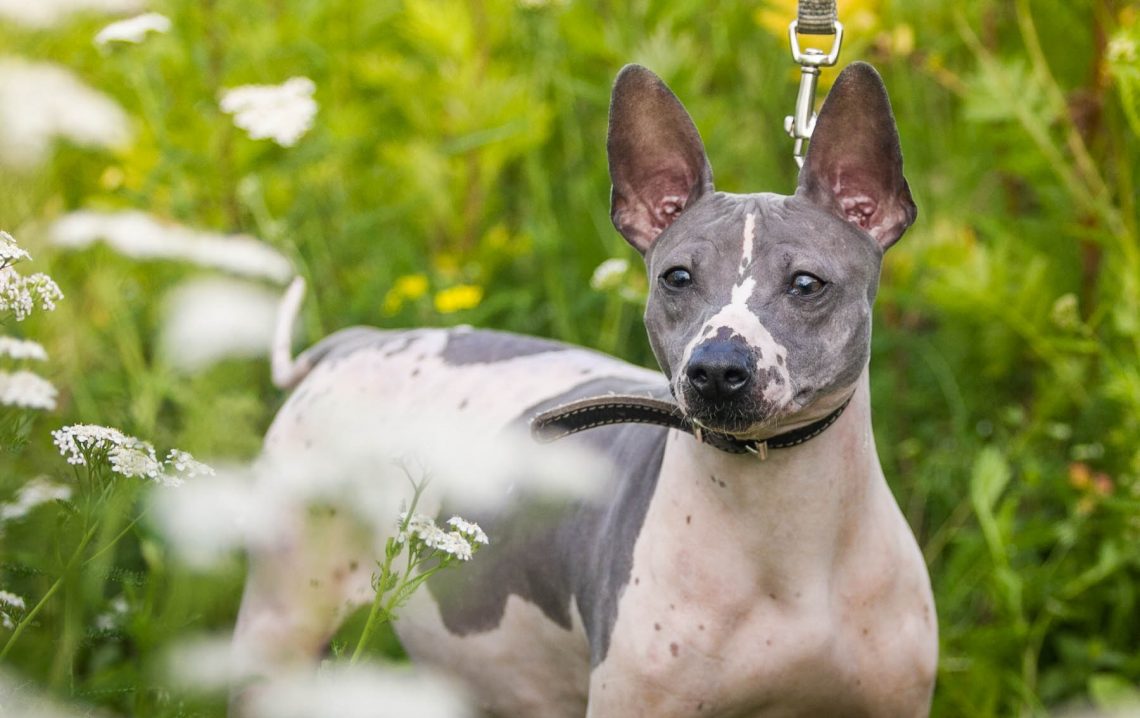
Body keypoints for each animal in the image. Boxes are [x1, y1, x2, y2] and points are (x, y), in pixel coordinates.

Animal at [231, 63, 934, 718]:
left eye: (807, 284)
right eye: (677, 277)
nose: (715, 368)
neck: (788, 534)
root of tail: (352, 344)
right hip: (280, 621)